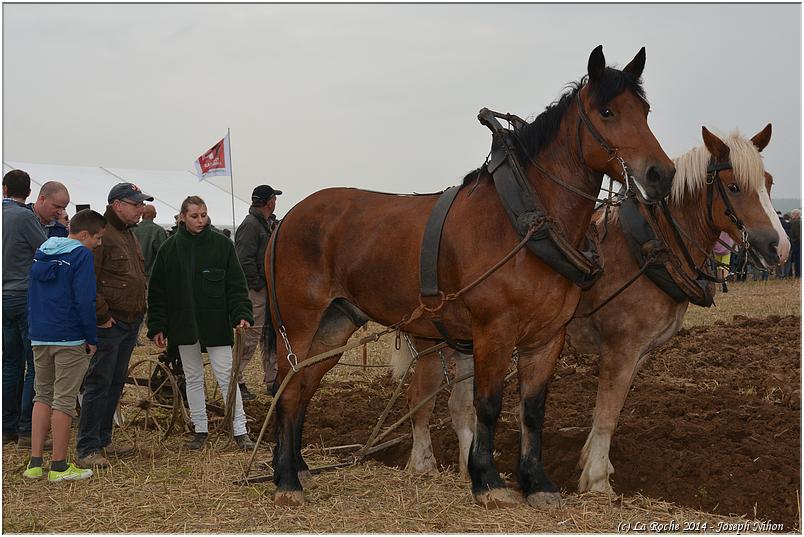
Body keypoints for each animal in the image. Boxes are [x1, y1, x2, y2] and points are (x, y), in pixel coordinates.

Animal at [266, 46, 676, 506]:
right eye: (607, 111)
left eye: (644, 111)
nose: (662, 175)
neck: (523, 221)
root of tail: (288, 218)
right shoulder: (493, 330)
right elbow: (489, 405)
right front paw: (488, 481)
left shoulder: (548, 337)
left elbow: (532, 409)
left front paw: (537, 483)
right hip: (297, 324)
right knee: (286, 387)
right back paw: (286, 481)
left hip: (335, 325)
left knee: (303, 386)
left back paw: (296, 466)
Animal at [396, 123, 792, 492]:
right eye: (734, 186)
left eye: (769, 182)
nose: (780, 247)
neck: (652, 247)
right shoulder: (622, 346)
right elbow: (608, 410)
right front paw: (598, 480)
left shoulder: (640, 351)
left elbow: (611, 405)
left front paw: (590, 460)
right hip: (438, 338)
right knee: (422, 399)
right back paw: (424, 464)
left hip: (468, 339)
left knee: (458, 405)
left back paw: (468, 467)